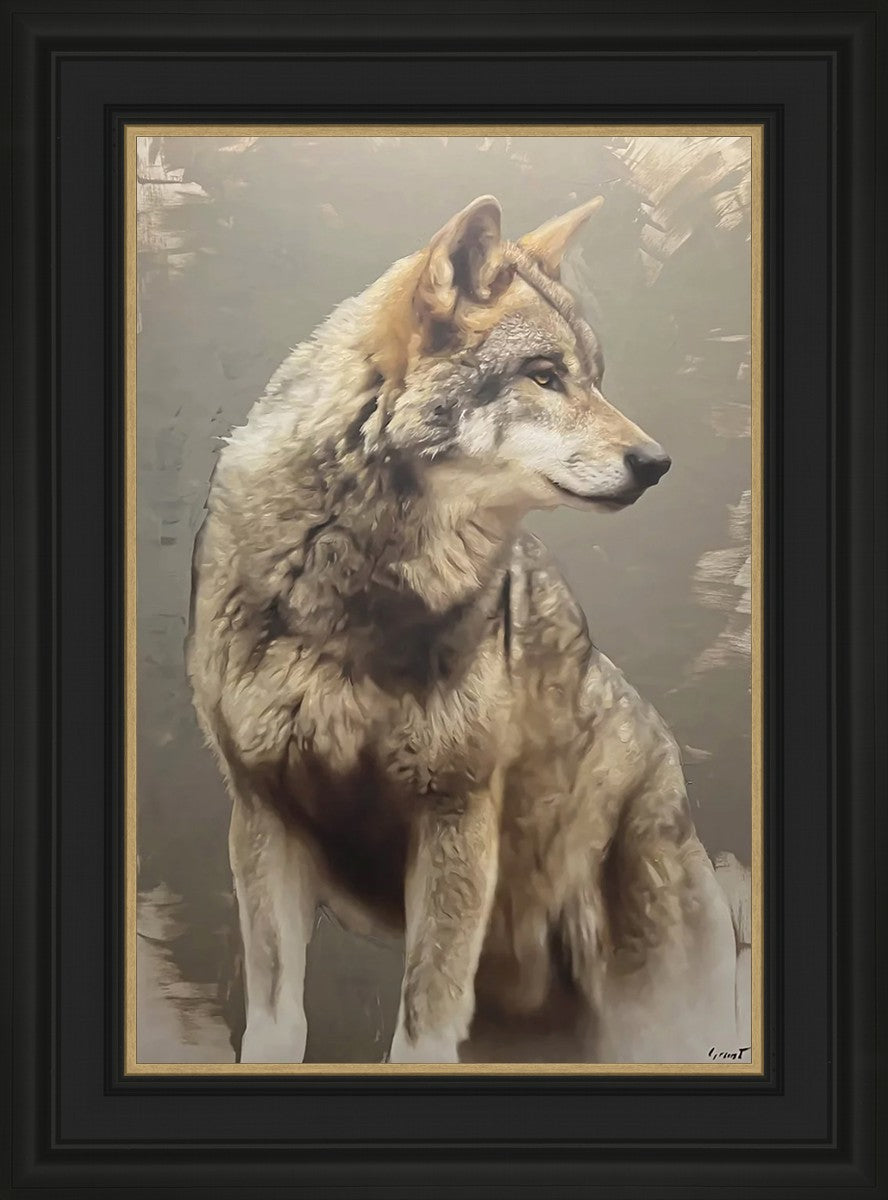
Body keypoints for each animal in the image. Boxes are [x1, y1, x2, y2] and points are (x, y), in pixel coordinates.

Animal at [187, 194, 746, 1065]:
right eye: (545, 376)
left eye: (594, 378)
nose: (657, 463)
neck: (353, 592)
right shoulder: (263, 816)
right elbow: (280, 1025)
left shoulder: (455, 818)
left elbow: (421, 1030)